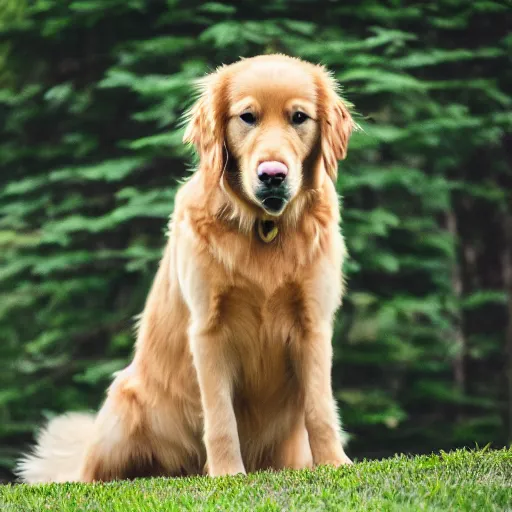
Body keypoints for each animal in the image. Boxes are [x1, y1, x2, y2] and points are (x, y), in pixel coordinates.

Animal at [15, 54, 352, 482]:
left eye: (299, 117)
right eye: (247, 117)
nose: (272, 175)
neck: (263, 228)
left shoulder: (313, 323)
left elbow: (320, 408)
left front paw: (334, 464)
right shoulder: (209, 328)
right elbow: (221, 417)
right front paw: (227, 473)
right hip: (123, 406)